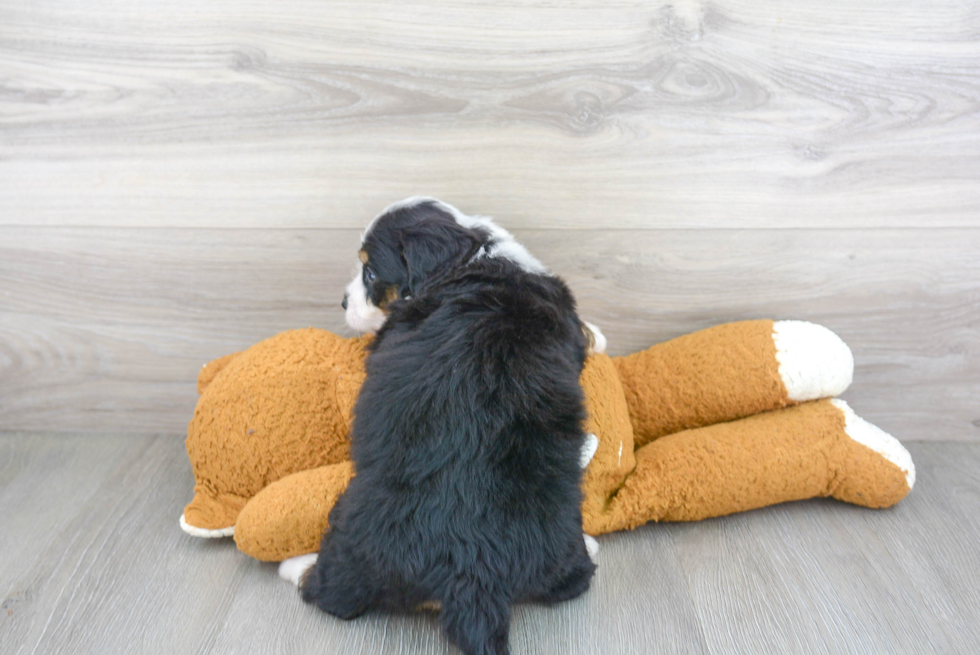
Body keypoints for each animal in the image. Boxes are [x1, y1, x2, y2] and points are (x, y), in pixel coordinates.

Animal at [298, 199, 596, 655]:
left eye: (370, 273)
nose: (343, 302)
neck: (469, 258)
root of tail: (472, 569)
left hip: (350, 534)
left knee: (330, 595)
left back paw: (299, 569)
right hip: (559, 548)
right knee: (574, 581)